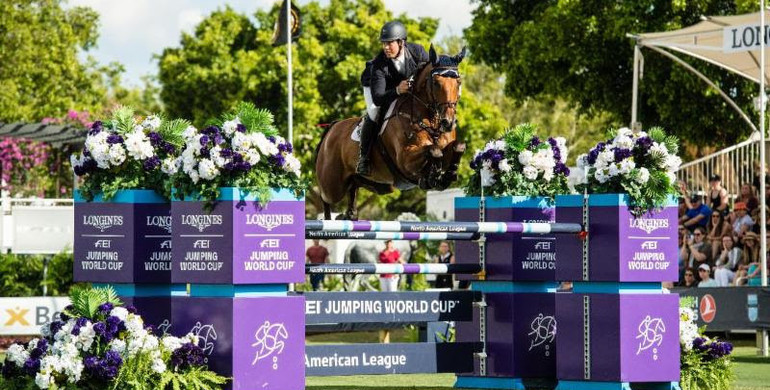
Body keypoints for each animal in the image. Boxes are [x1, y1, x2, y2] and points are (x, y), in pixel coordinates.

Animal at [316, 44, 464, 221]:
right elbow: (433, 151)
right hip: (333, 185)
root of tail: (332, 128)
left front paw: (449, 174)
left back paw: (348, 215)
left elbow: (457, 147)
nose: (448, 123)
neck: (430, 120)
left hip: (372, 183)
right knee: (325, 197)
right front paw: (432, 177)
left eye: (458, 82)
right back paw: (328, 218)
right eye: (435, 82)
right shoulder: (405, 159)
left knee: (353, 190)